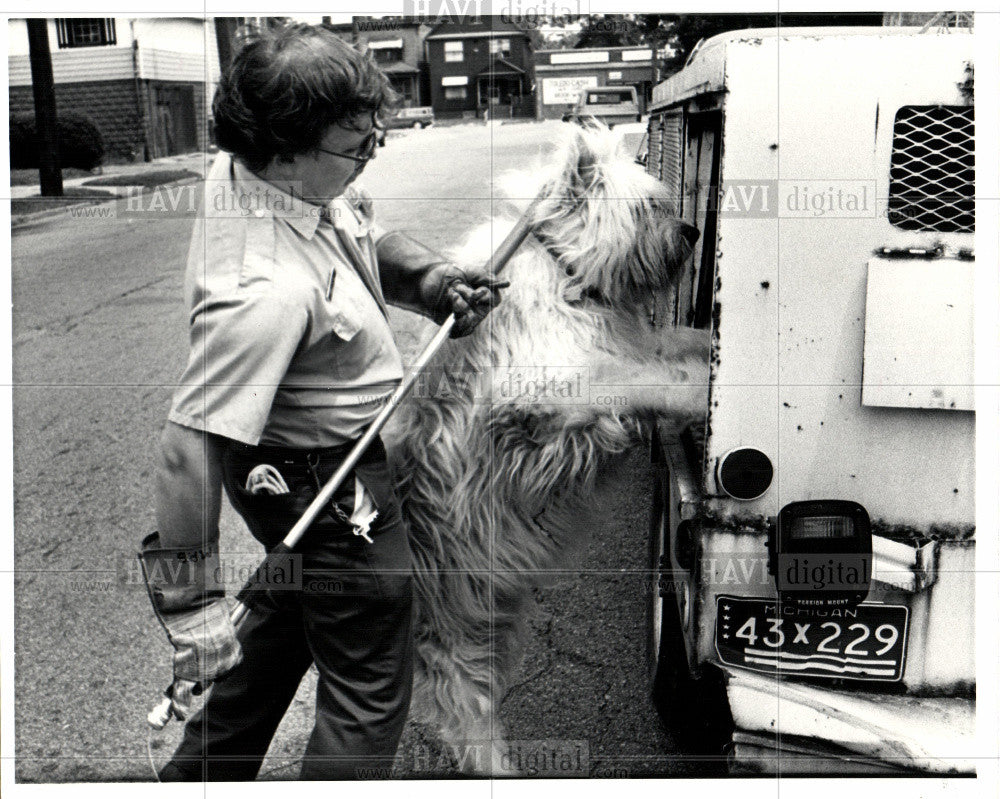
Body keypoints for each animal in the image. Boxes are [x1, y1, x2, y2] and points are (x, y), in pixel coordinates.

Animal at [384, 125, 712, 776]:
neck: (568, 273)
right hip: (450, 642)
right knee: (464, 718)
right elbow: (643, 384)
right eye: (647, 208)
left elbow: (674, 343)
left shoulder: (629, 343)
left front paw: (712, 347)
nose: (691, 231)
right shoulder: (540, 397)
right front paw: (701, 389)